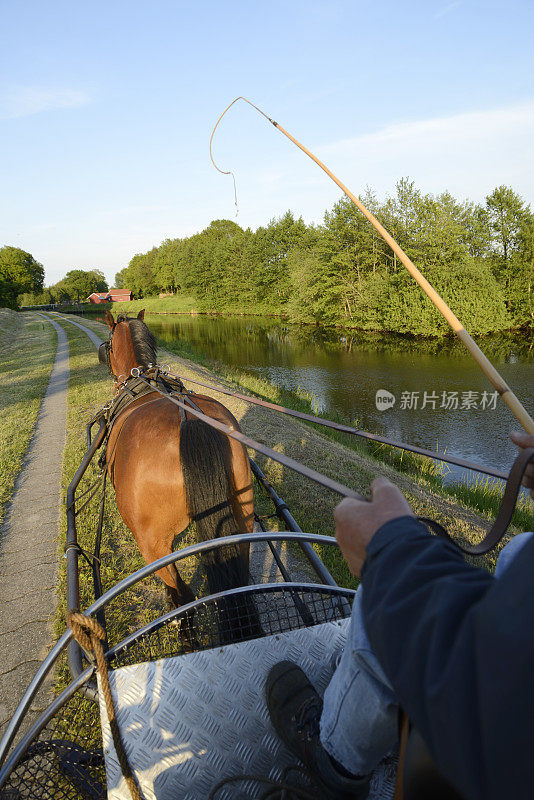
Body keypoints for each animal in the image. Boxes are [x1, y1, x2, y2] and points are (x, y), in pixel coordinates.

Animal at [100, 310, 262, 640]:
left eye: (108, 346)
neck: (140, 380)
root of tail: (189, 419)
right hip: (242, 520)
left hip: (152, 545)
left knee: (185, 597)